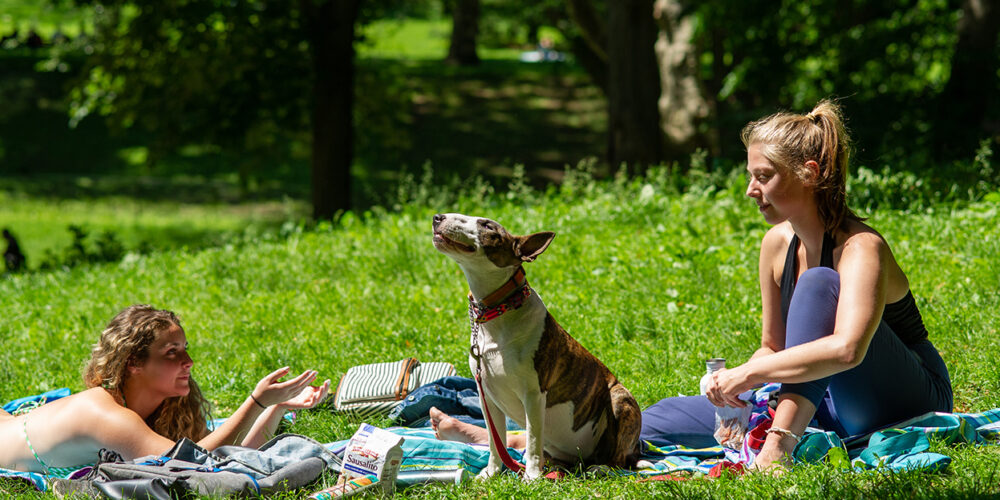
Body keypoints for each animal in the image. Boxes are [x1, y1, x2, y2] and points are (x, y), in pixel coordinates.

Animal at [430, 213, 640, 478]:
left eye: (487, 225)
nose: (438, 217)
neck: (498, 312)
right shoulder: (486, 394)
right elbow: (495, 440)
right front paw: (491, 473)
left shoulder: (533, 394)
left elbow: (531, 439)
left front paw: (531, 477)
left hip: (619, 399)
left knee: (620, 459)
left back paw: (600, 467)